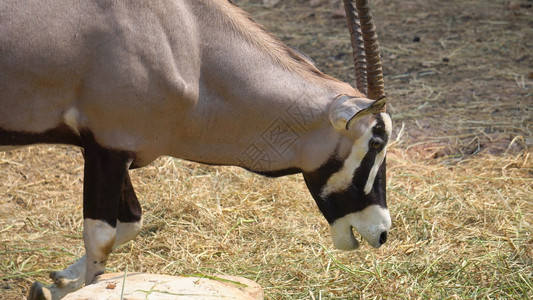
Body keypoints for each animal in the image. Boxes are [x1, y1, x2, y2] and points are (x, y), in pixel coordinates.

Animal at [0, 0, 390, 298]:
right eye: (376, 141)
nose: (383, 232)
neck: (192, 44)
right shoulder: (106, 149)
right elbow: (101, 238)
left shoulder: (117, 151)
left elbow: (131, 223)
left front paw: (61, 282)